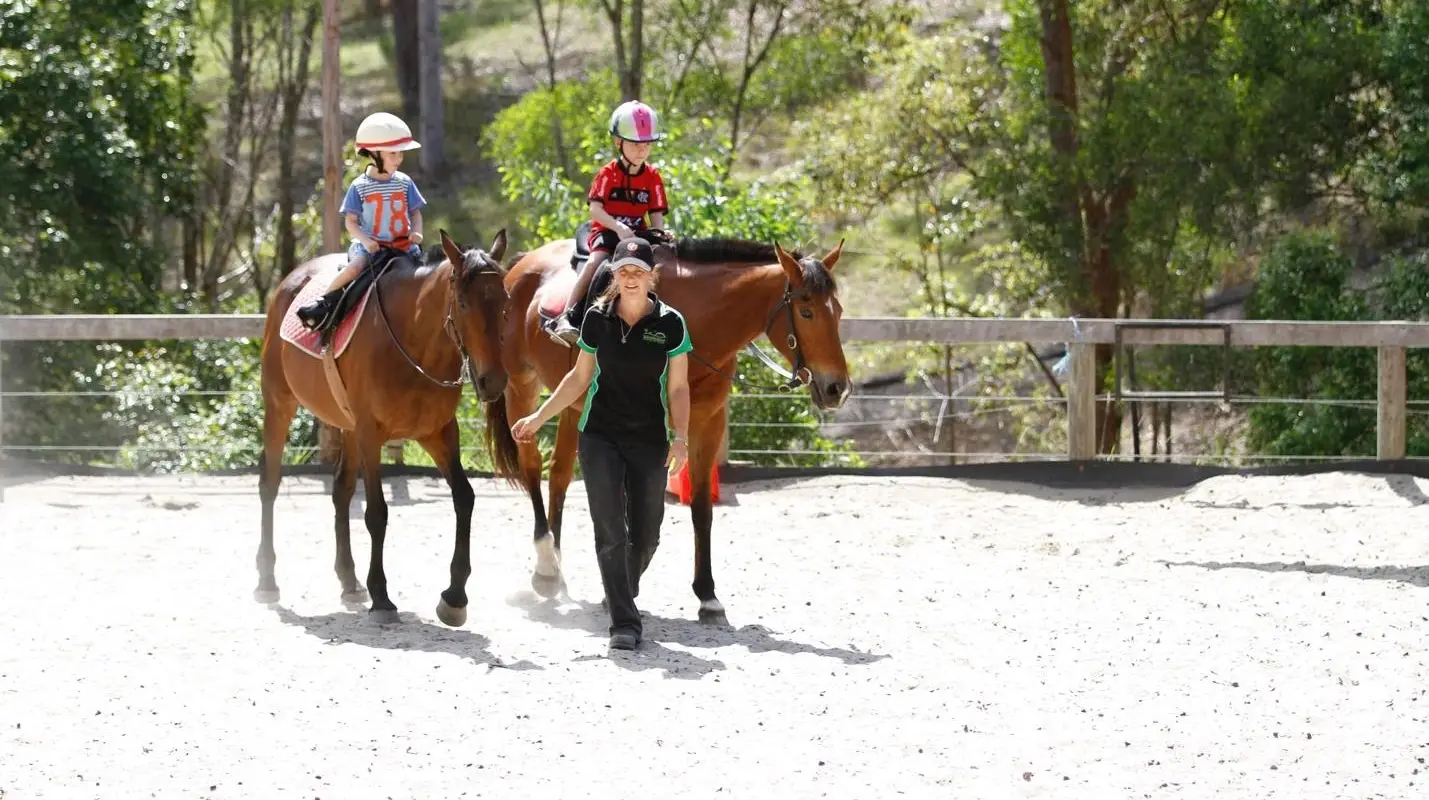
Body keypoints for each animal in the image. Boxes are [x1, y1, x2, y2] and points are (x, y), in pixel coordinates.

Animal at [254, 229, 522, 627]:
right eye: (462, 303)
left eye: (504, 301)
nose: (493, 381)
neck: (414, 344)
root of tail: (292, 279)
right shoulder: (371, 434)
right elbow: (377, 513)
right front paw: (381, 595)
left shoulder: (439, 433)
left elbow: (465, 497)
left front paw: (454, 596)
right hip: (279, 405)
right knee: (270, 484)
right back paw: (268, 579)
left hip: (346, 426)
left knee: (341, 492)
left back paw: (349, 581)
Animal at [499, 230, 852, 625]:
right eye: (806, 312)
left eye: (838, 312)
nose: (837, 388)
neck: (698, 322)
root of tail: (523, 265)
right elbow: (632, 512)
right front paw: (625, 587)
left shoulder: (705, 423)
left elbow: (699, 510)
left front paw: (707, 595)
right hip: (521, 387)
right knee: (532, 467)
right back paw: (546, 568)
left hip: (574, 405)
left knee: (558, 476)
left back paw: (557, 573)